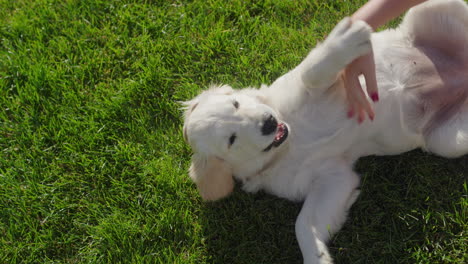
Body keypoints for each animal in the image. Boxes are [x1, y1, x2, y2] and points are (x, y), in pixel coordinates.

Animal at [181, 1, 468, 262]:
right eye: (231, 140)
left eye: (236, 104)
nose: (269, 123)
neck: (290, 140)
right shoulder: (332, 177)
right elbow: (303, 224)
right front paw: (317, 255)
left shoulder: (331, 84)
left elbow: (311, 72)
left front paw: (345, 38)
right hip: (446, 141)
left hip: (431, 10)